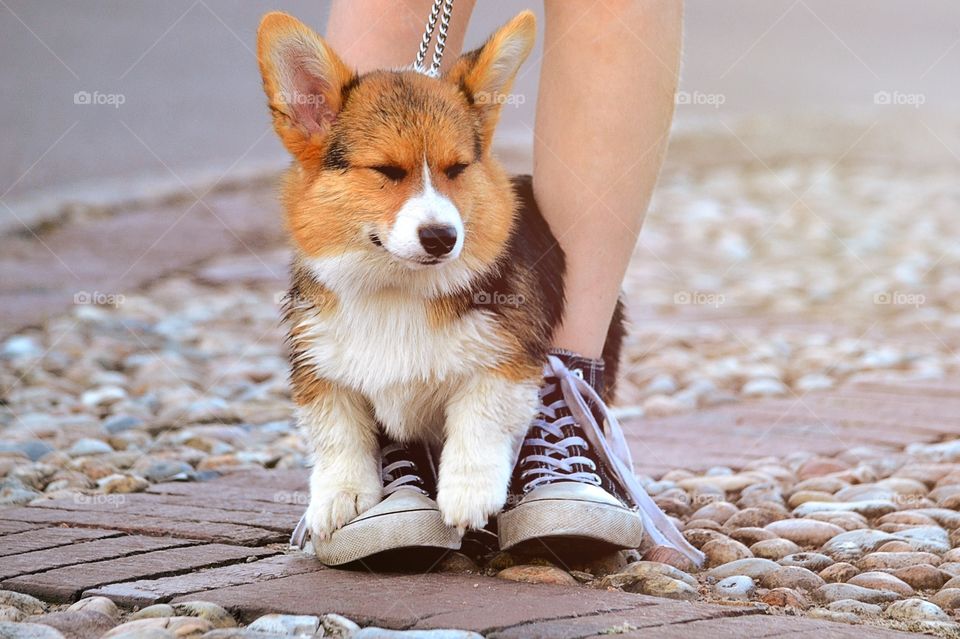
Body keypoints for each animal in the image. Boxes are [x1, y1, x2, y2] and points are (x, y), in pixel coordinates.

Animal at [256, 8, 624, 540]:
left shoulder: (504, 360)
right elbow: (339, 435)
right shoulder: (320, 365)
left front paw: (468, 494)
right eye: (387, 171)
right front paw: (338, 498)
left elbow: (479, 420)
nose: (441, 238)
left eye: (457, 169)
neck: (395, 286)